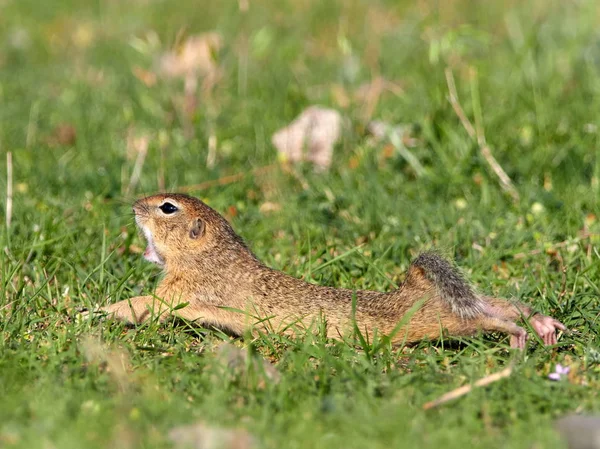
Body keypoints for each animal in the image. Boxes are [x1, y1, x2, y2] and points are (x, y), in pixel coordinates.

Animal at [97, 192, 564, 346]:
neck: (212, 256)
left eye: (167, 207)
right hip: (465, 302)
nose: (133, 205)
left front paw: (94, 312)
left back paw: (522, 336)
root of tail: (412, 287)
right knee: (501, 303)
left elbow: (141, 305)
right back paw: (545, 325)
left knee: (493, 321)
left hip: (444, 322)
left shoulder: (179, 293)